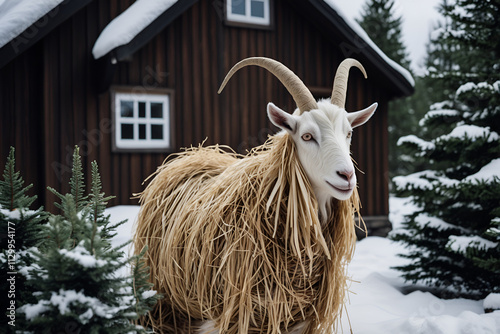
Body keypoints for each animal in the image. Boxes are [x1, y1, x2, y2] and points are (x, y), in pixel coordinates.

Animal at [135, 57, 376, 334]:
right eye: (307, 136)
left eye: (349, 133)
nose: (346, 175)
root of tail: (182, 160)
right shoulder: (230, 314)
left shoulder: (299, 317)